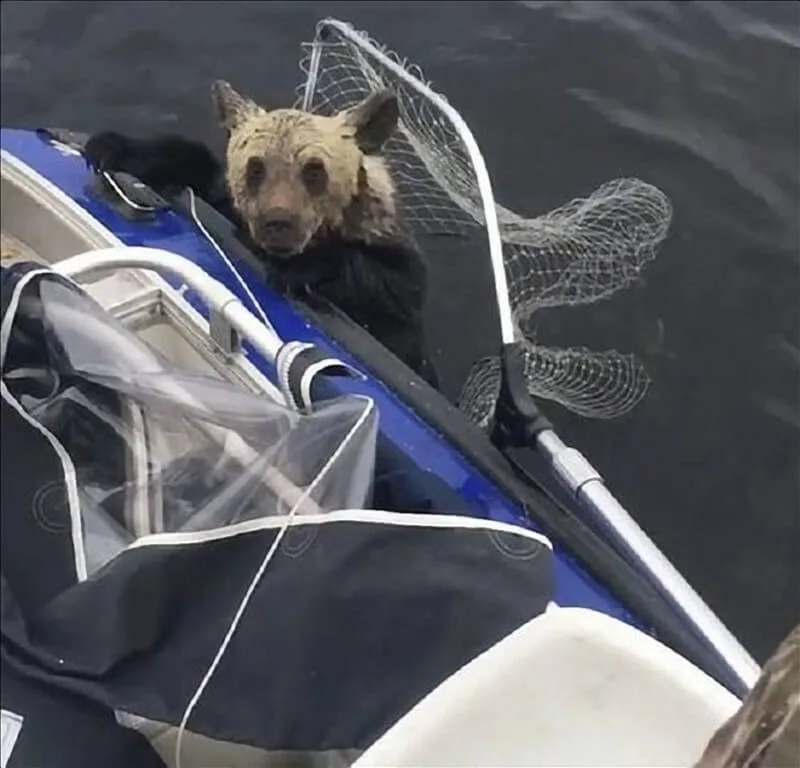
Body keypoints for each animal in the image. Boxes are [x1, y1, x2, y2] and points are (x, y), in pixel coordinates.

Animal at [83, 81, 438, 388]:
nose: (278, 221)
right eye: (256, 168)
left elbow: (393, 287)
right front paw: (114, 148)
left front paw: (298, 268)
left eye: (314, 170)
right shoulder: (223, 200)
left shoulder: (385, 250)